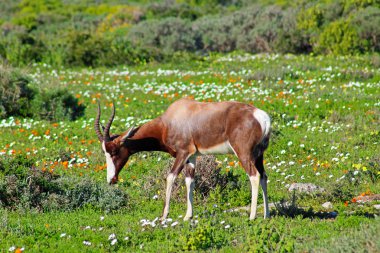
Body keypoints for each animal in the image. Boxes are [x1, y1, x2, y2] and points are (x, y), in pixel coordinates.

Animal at [94, 98, 270, 220]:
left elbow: (170, 177)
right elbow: (189, 181)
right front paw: (188, 216)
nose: (111, 179)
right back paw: (266, 214)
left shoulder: (183, 153)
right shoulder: (192, 157)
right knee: (263, 176)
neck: (170, 120)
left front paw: (164, 216)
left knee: (254, 176)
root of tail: (262, 117)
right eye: (104, 152)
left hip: (243, 153)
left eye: (114, 151)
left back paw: (252, 216)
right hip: (258, 155)